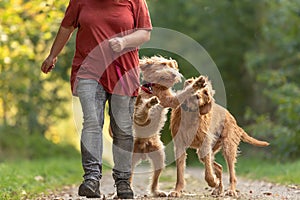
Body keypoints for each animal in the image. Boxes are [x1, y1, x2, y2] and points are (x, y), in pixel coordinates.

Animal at [131, 56, 206, 197]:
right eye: (163, 64)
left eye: (172, 66)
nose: (174, 74)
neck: (155, 88)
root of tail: (143, 150)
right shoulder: (137, 116)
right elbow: (143, 110)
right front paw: (150, 103)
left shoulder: (171, 100)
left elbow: (182, 95)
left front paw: (196, 84)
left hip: (160, 157)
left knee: (154, 179)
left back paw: (157, 192)